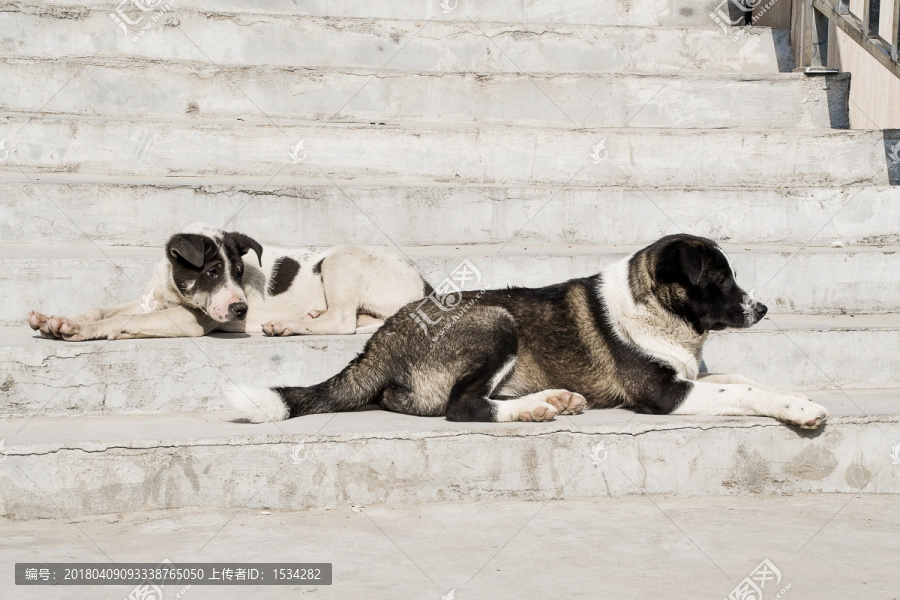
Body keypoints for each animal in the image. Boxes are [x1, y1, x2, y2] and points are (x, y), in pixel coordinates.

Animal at [28, 223, 432, 340]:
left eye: (238, 271)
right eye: (210, 272)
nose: (241, 310)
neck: (174, 291)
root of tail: (427, 286)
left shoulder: (194, 320)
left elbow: (125, 318)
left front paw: (82, 331)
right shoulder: (154, 300)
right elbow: (103, 308)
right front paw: (56, 319)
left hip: (341, 259)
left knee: (343, 320)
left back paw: (286, 325)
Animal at [230, 232, 828, 428]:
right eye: (720, 278)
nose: (763, 308)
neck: (658, 312)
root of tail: (377, 342)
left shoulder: (691, 375)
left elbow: (744, 382)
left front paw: (794, 397)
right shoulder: (664, 393)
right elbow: (740, 394)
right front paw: (799, 410)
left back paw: (552, 399)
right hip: (497, 321)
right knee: (463, 406)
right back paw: (536, 407)